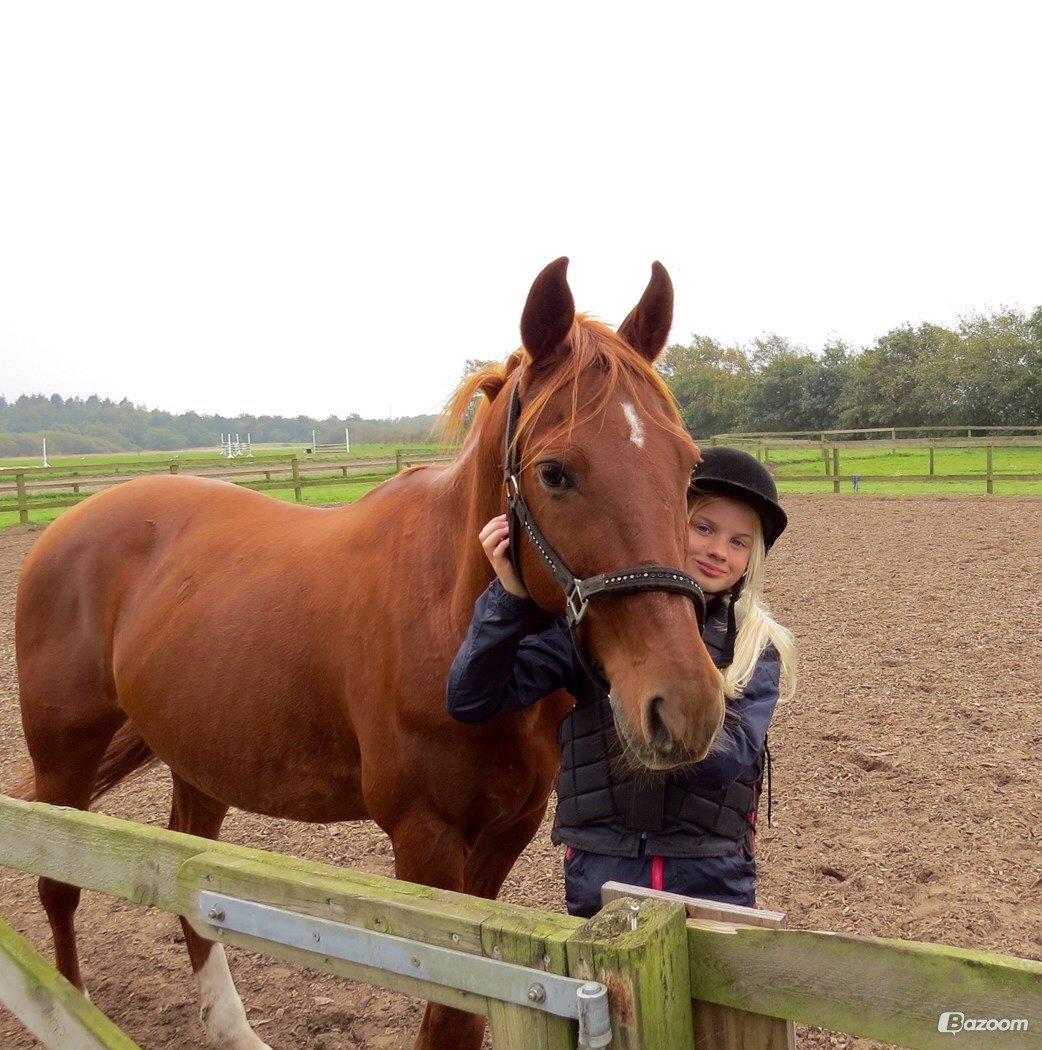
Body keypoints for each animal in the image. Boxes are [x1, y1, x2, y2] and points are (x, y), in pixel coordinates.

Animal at [12, 256, 722, 1050]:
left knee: (188, 874)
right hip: (64, 754)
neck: (447, 616)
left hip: (198, 756)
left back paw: (232, 1028)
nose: (686, 705)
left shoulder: (503, 833)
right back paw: (65, 1009)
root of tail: (66, 525)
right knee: (56, 881)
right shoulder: (426, 840)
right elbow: (448, 1016)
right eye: (555, 472)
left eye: (687, 466)